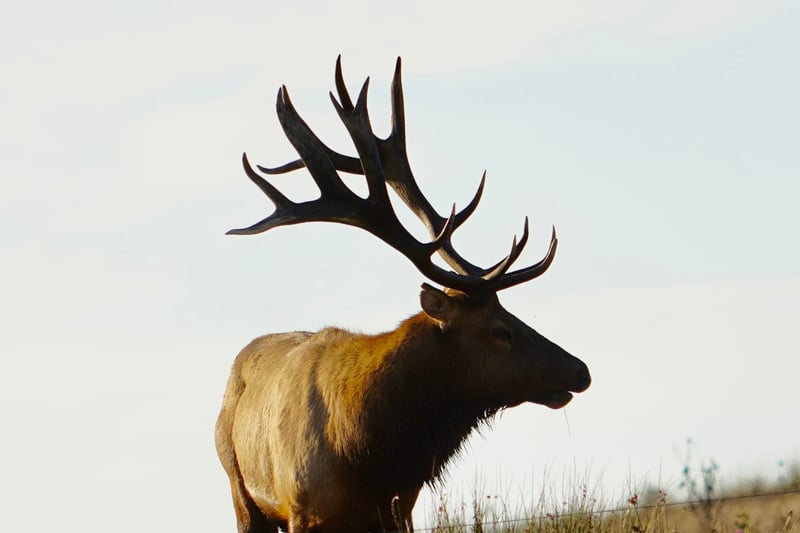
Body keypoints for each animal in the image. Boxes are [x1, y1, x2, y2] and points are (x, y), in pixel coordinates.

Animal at [215, 57, 591, 533]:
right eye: (500, 330)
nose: (581, 370)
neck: (368, 456)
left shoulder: (400, 508)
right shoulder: (302, 508)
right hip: (240, 490)